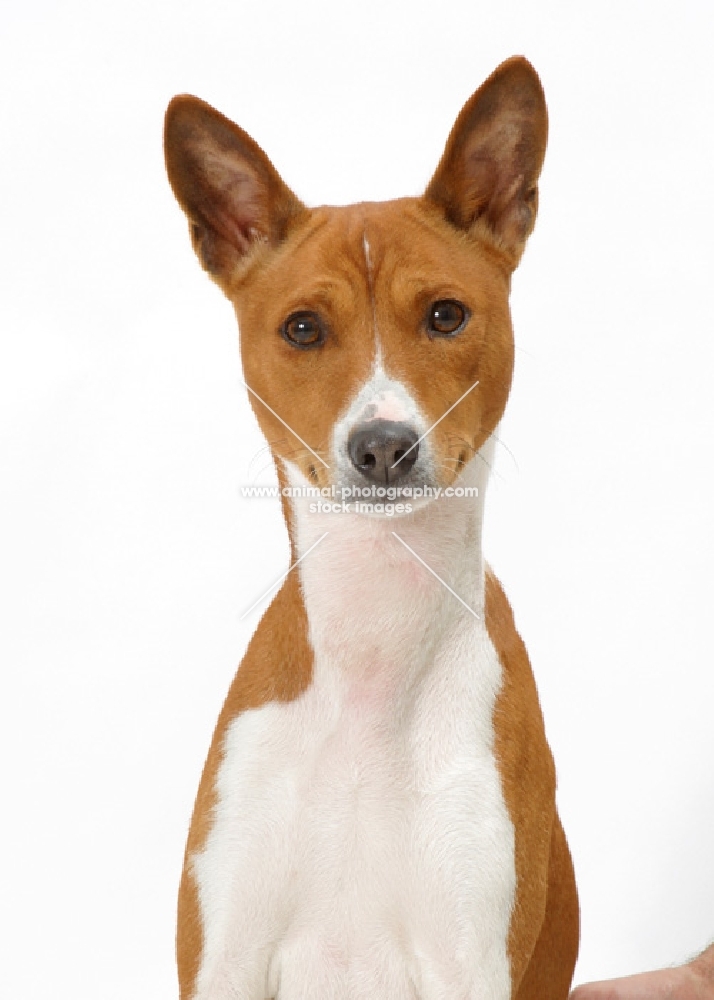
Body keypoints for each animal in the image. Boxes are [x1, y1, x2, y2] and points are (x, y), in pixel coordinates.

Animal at [163, 56, 580, 1000]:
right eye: (302, 329)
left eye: (446, 315)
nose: (382, 446)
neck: (371, 661)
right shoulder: (225, 958)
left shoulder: (468, 959)